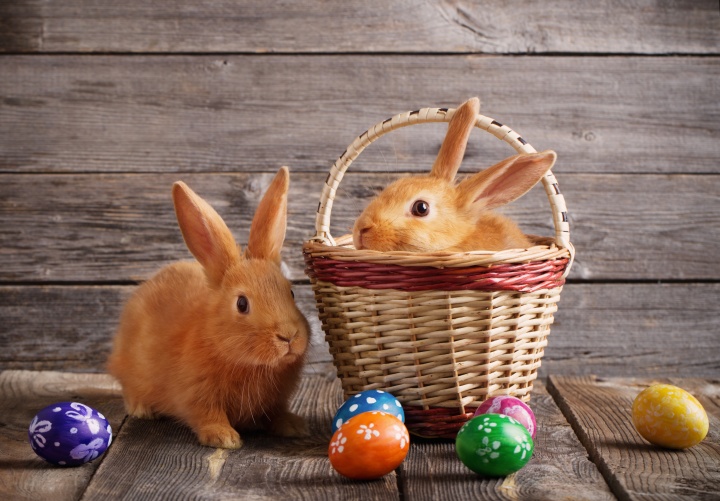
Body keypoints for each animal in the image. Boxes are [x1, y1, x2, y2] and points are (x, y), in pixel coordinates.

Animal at [107, 166, 310, 448]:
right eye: (242, 303)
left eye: (291, 292)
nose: (289, 336)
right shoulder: (197, 394)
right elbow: (207, 414)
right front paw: (224, 438)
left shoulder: (276, 401)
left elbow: (276, 414)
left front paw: (294, 426)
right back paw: (141, 408)